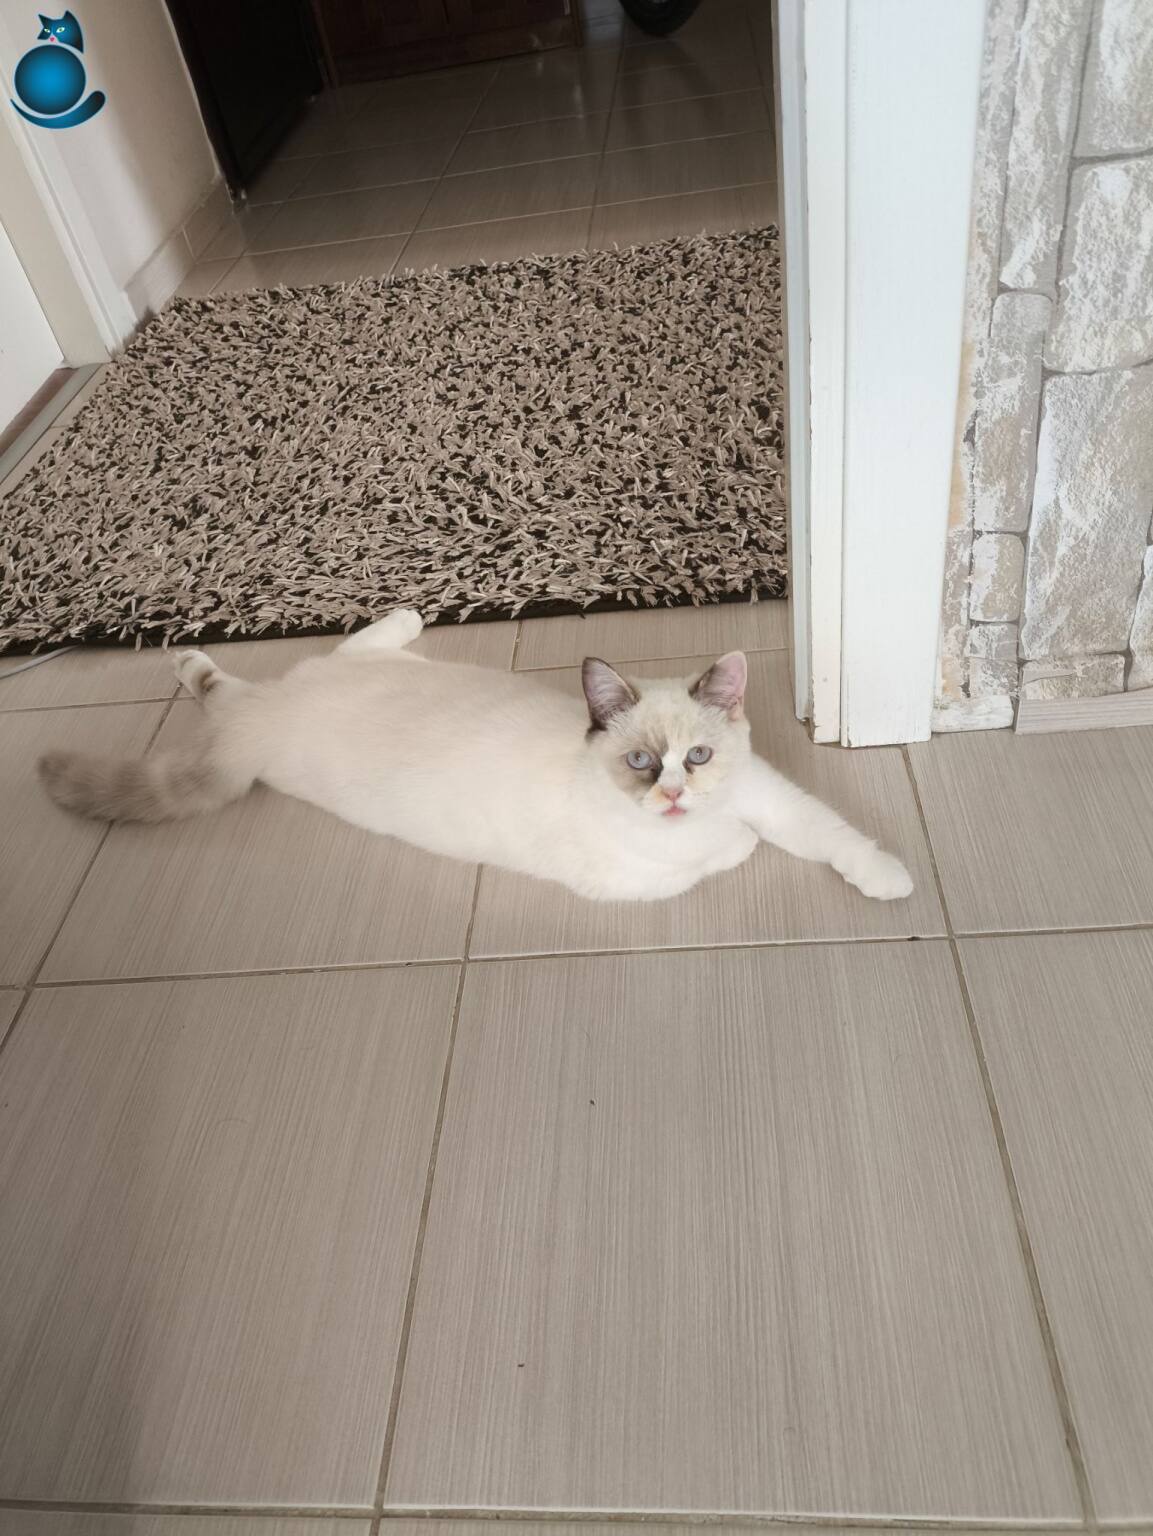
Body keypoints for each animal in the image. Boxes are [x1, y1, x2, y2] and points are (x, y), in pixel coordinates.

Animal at [38, 609, 914, 904]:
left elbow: (831, 837)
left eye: (697, 755)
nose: (671, 796)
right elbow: (731, 850)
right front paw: (735, 843)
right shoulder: (642, 876)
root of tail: (256, 725)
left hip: (327, 673)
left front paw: (890, 882)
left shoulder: (772, 796)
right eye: (640, 765)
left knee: (231, 679)